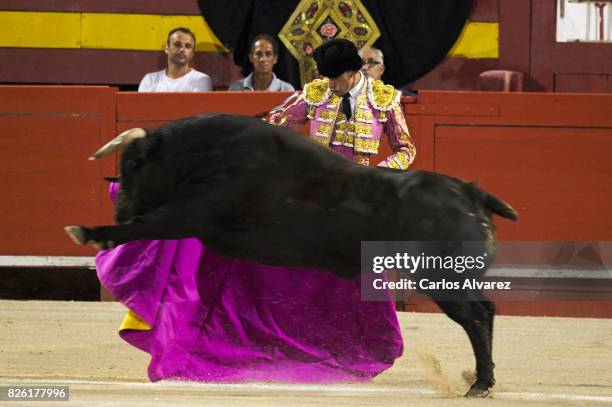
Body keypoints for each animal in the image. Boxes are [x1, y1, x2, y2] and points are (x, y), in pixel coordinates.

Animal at [65, 114, 516, 398]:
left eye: (135, 164)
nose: (121, 210)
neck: (204, 154)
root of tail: (469, 190)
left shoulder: (189, 213)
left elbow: (146, 227)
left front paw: (91, 233)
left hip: (439, 277)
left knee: (477, 315)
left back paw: (479, 384)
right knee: (486, 310)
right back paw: (482, 379)